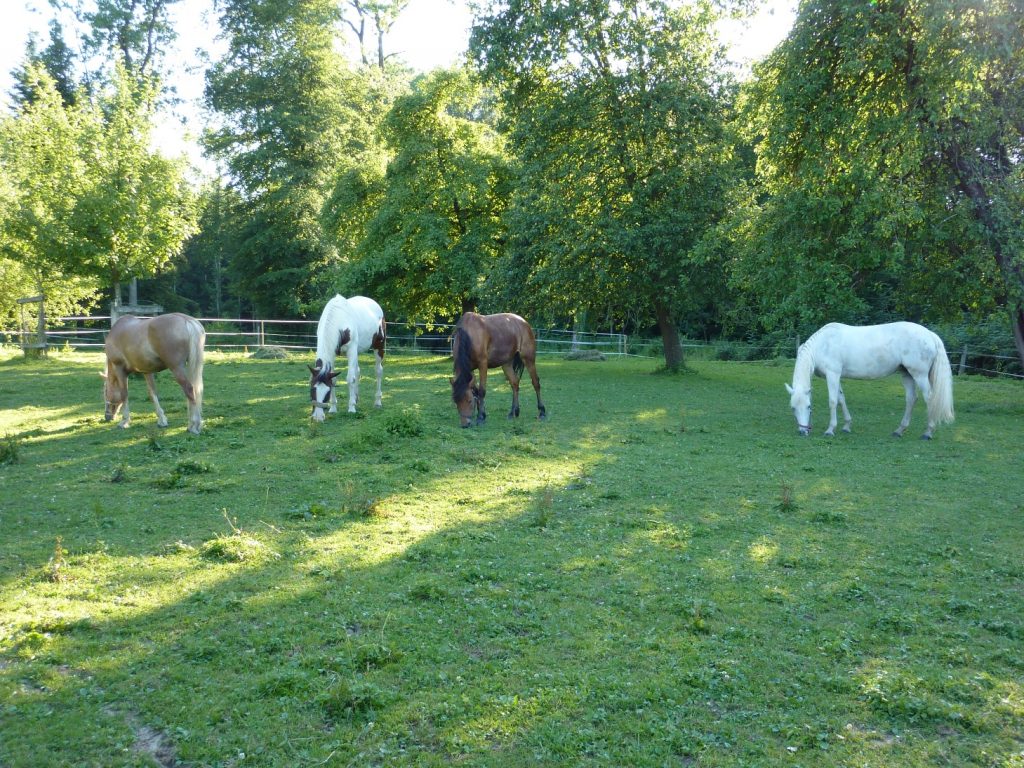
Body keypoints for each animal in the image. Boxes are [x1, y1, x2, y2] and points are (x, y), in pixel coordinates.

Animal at [785, 321, 954, 439]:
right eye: (793, 408)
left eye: (808, 406)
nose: (802, 431)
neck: (822, 345)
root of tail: (930, 334)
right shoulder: (836, 376)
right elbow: (841, 399)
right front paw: (846, 426)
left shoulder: (833, 374)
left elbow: (833, 401)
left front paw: (830, 430)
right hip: (907, 374)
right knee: (911, 399)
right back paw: (899, 431)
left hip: (919, 375)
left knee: (929, 398)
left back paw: (928, 432)